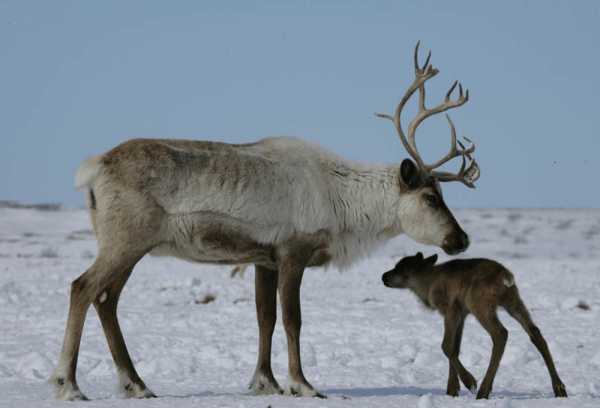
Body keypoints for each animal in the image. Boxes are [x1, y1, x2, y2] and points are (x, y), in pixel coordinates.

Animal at [384, 252, 568, 398]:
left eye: (400, 268)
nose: (383, 276)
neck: (427, 286)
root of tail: (505, 277)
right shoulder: (462, 314)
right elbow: (456, 347)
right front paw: (452, 390)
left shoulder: (450, 309)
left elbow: (446, 346)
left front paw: (469, 381)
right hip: (512, 300)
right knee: (535, 332)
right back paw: (559, 388)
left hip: (479, 304)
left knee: (501, 333)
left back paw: (483, 391)